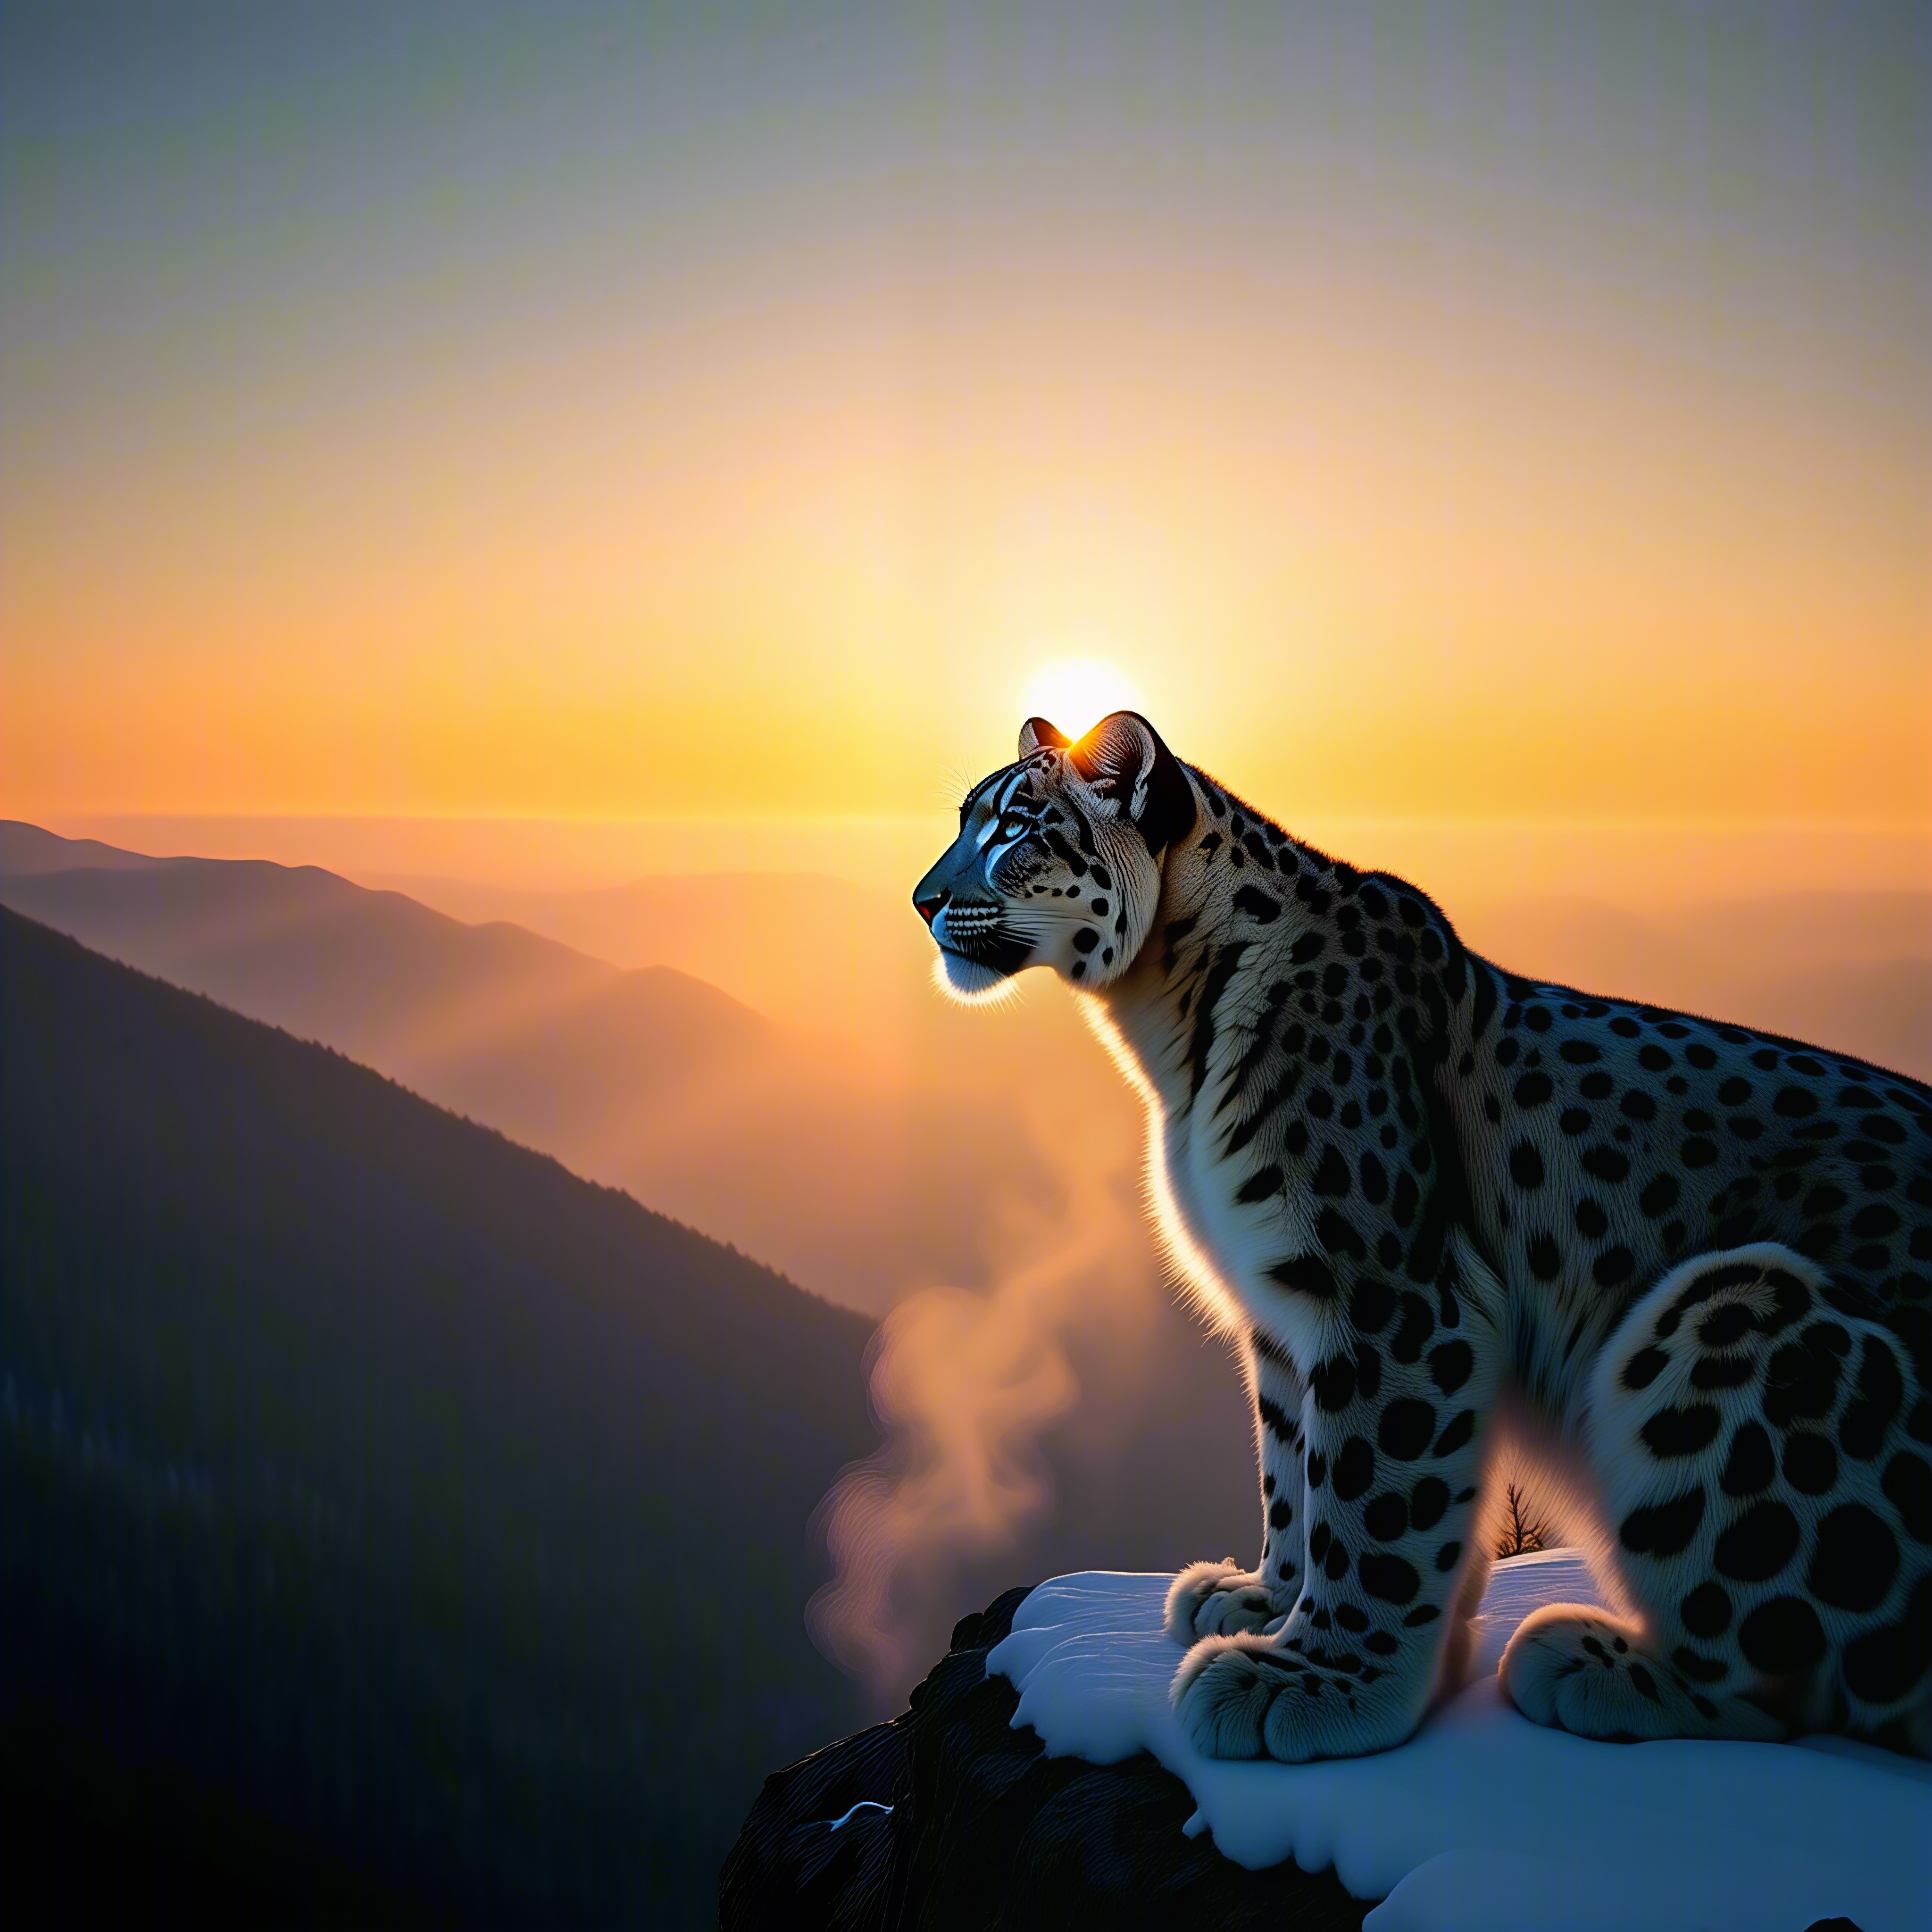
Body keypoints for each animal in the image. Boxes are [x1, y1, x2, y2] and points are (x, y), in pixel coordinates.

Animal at [914, 710, 1931, 1762]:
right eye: (965, 817)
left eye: (1014, 828)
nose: (921, 900)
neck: (1166, 1037)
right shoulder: (1280, 1314)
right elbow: (1293, 1466)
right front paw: (1266, 1599)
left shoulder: (1387, 1299)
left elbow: (1373, 1494)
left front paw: (1319, 1676)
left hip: (1732, 1308)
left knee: (1790, 1669)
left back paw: (1587, 1661)